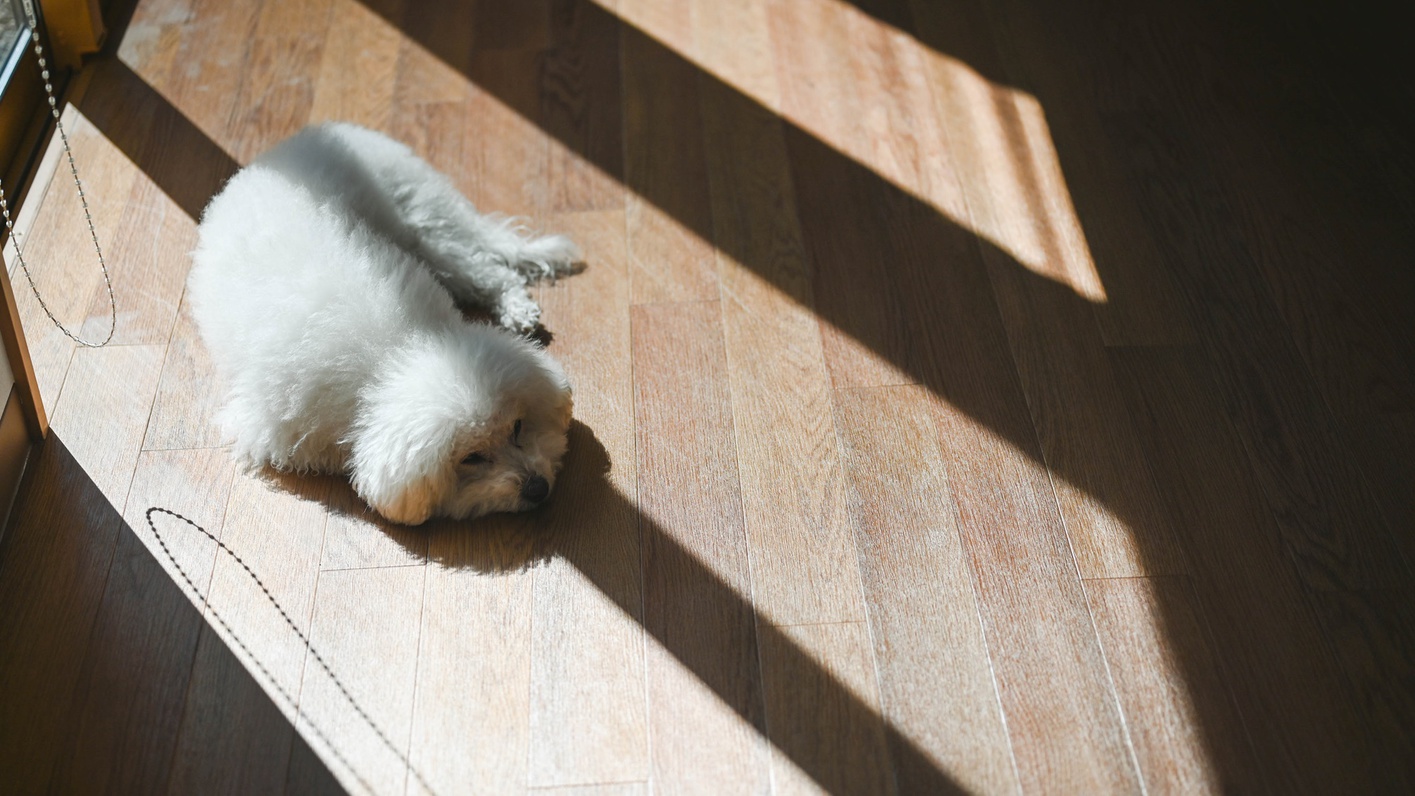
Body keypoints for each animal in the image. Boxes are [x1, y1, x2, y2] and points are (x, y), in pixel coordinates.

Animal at [188, 121, 574, 525]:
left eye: (518, 428)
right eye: (472, 458)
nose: (538, 488)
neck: (395, 350)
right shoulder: (270, 428)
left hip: (429, 228)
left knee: (492, 271)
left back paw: (517, 309)